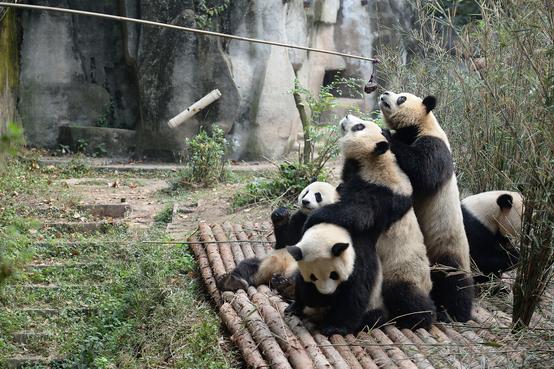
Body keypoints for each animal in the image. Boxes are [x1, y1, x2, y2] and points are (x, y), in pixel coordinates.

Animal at [378, 90, 472, 320]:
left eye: (401, 98)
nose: (384, 93)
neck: (421, 124)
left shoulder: (436, 146)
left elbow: (423, 171)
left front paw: (386, 134)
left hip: (447, 246)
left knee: (454, 282)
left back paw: (457, 313)